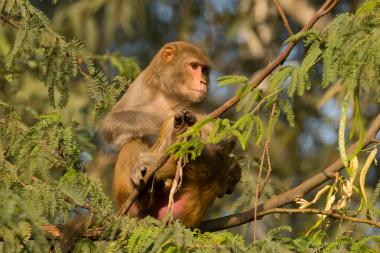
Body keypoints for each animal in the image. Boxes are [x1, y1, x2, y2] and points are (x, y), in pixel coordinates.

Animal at [101, 41, 240, 227]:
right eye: (194, 66)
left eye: (204, 70)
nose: (203, 82)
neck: (170, 94)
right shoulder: (141, 85)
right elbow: (112, 123)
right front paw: (167, 118)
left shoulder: (198, 106)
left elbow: (222, 141)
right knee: (133, 141)